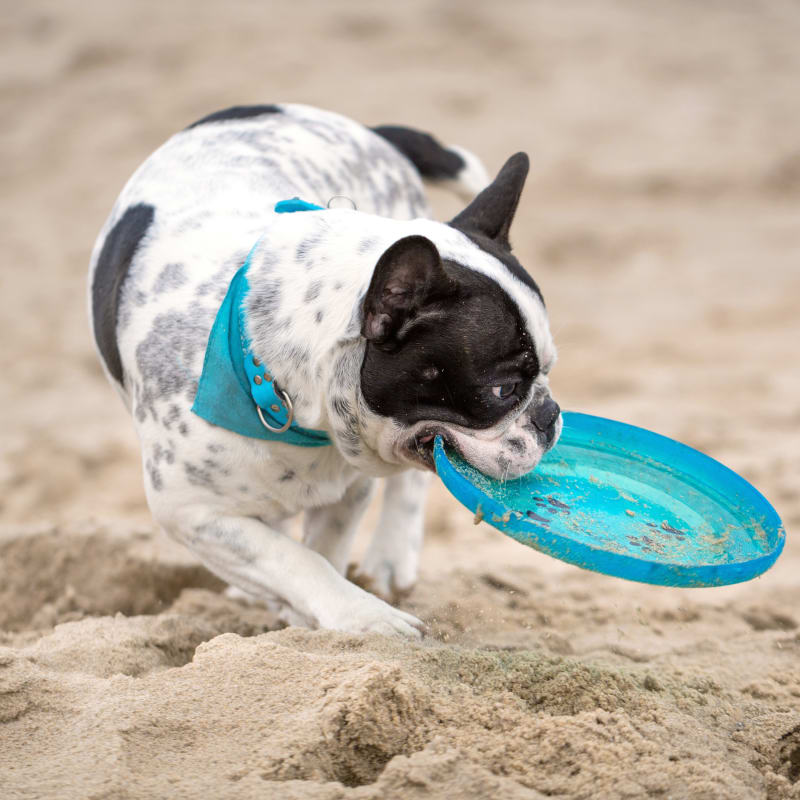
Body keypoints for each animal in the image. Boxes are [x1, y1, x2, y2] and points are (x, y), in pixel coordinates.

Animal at [87, 103, 560, 636]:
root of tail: (369, 131)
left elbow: (323, 552)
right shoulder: (192, 511)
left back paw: (389, 558)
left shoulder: (350, 486)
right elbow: (292, 559)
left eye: (547, 370)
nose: (550, 416)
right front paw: (366, 618)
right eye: (503, 390)